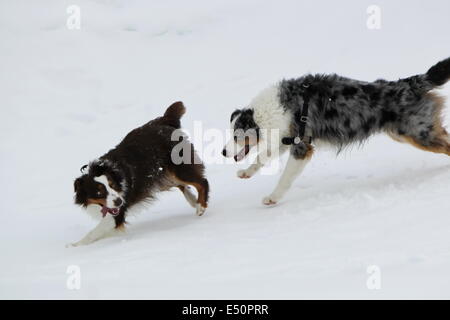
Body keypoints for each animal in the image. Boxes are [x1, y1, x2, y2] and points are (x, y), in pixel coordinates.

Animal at [71, 101, 209, 246]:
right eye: (99, 192)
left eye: (112, 185)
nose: (119, 201)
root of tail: (164, 120)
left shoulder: (117, 214)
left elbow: (94, 232)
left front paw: (74, 246)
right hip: (160, 174)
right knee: (180, 184)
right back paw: (193, 201)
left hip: (178, 166)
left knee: (202, 182)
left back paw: (200, 206)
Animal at [222, 57, 450, 205]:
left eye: (236, 137)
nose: (223, 152)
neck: (266, 113)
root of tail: (409, 83)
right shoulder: (285, 139)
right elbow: (261, 157)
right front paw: (246, 172)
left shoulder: (301, 147)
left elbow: (284, 178)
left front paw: (273, 197)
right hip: (407, 133)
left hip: (419, 133)